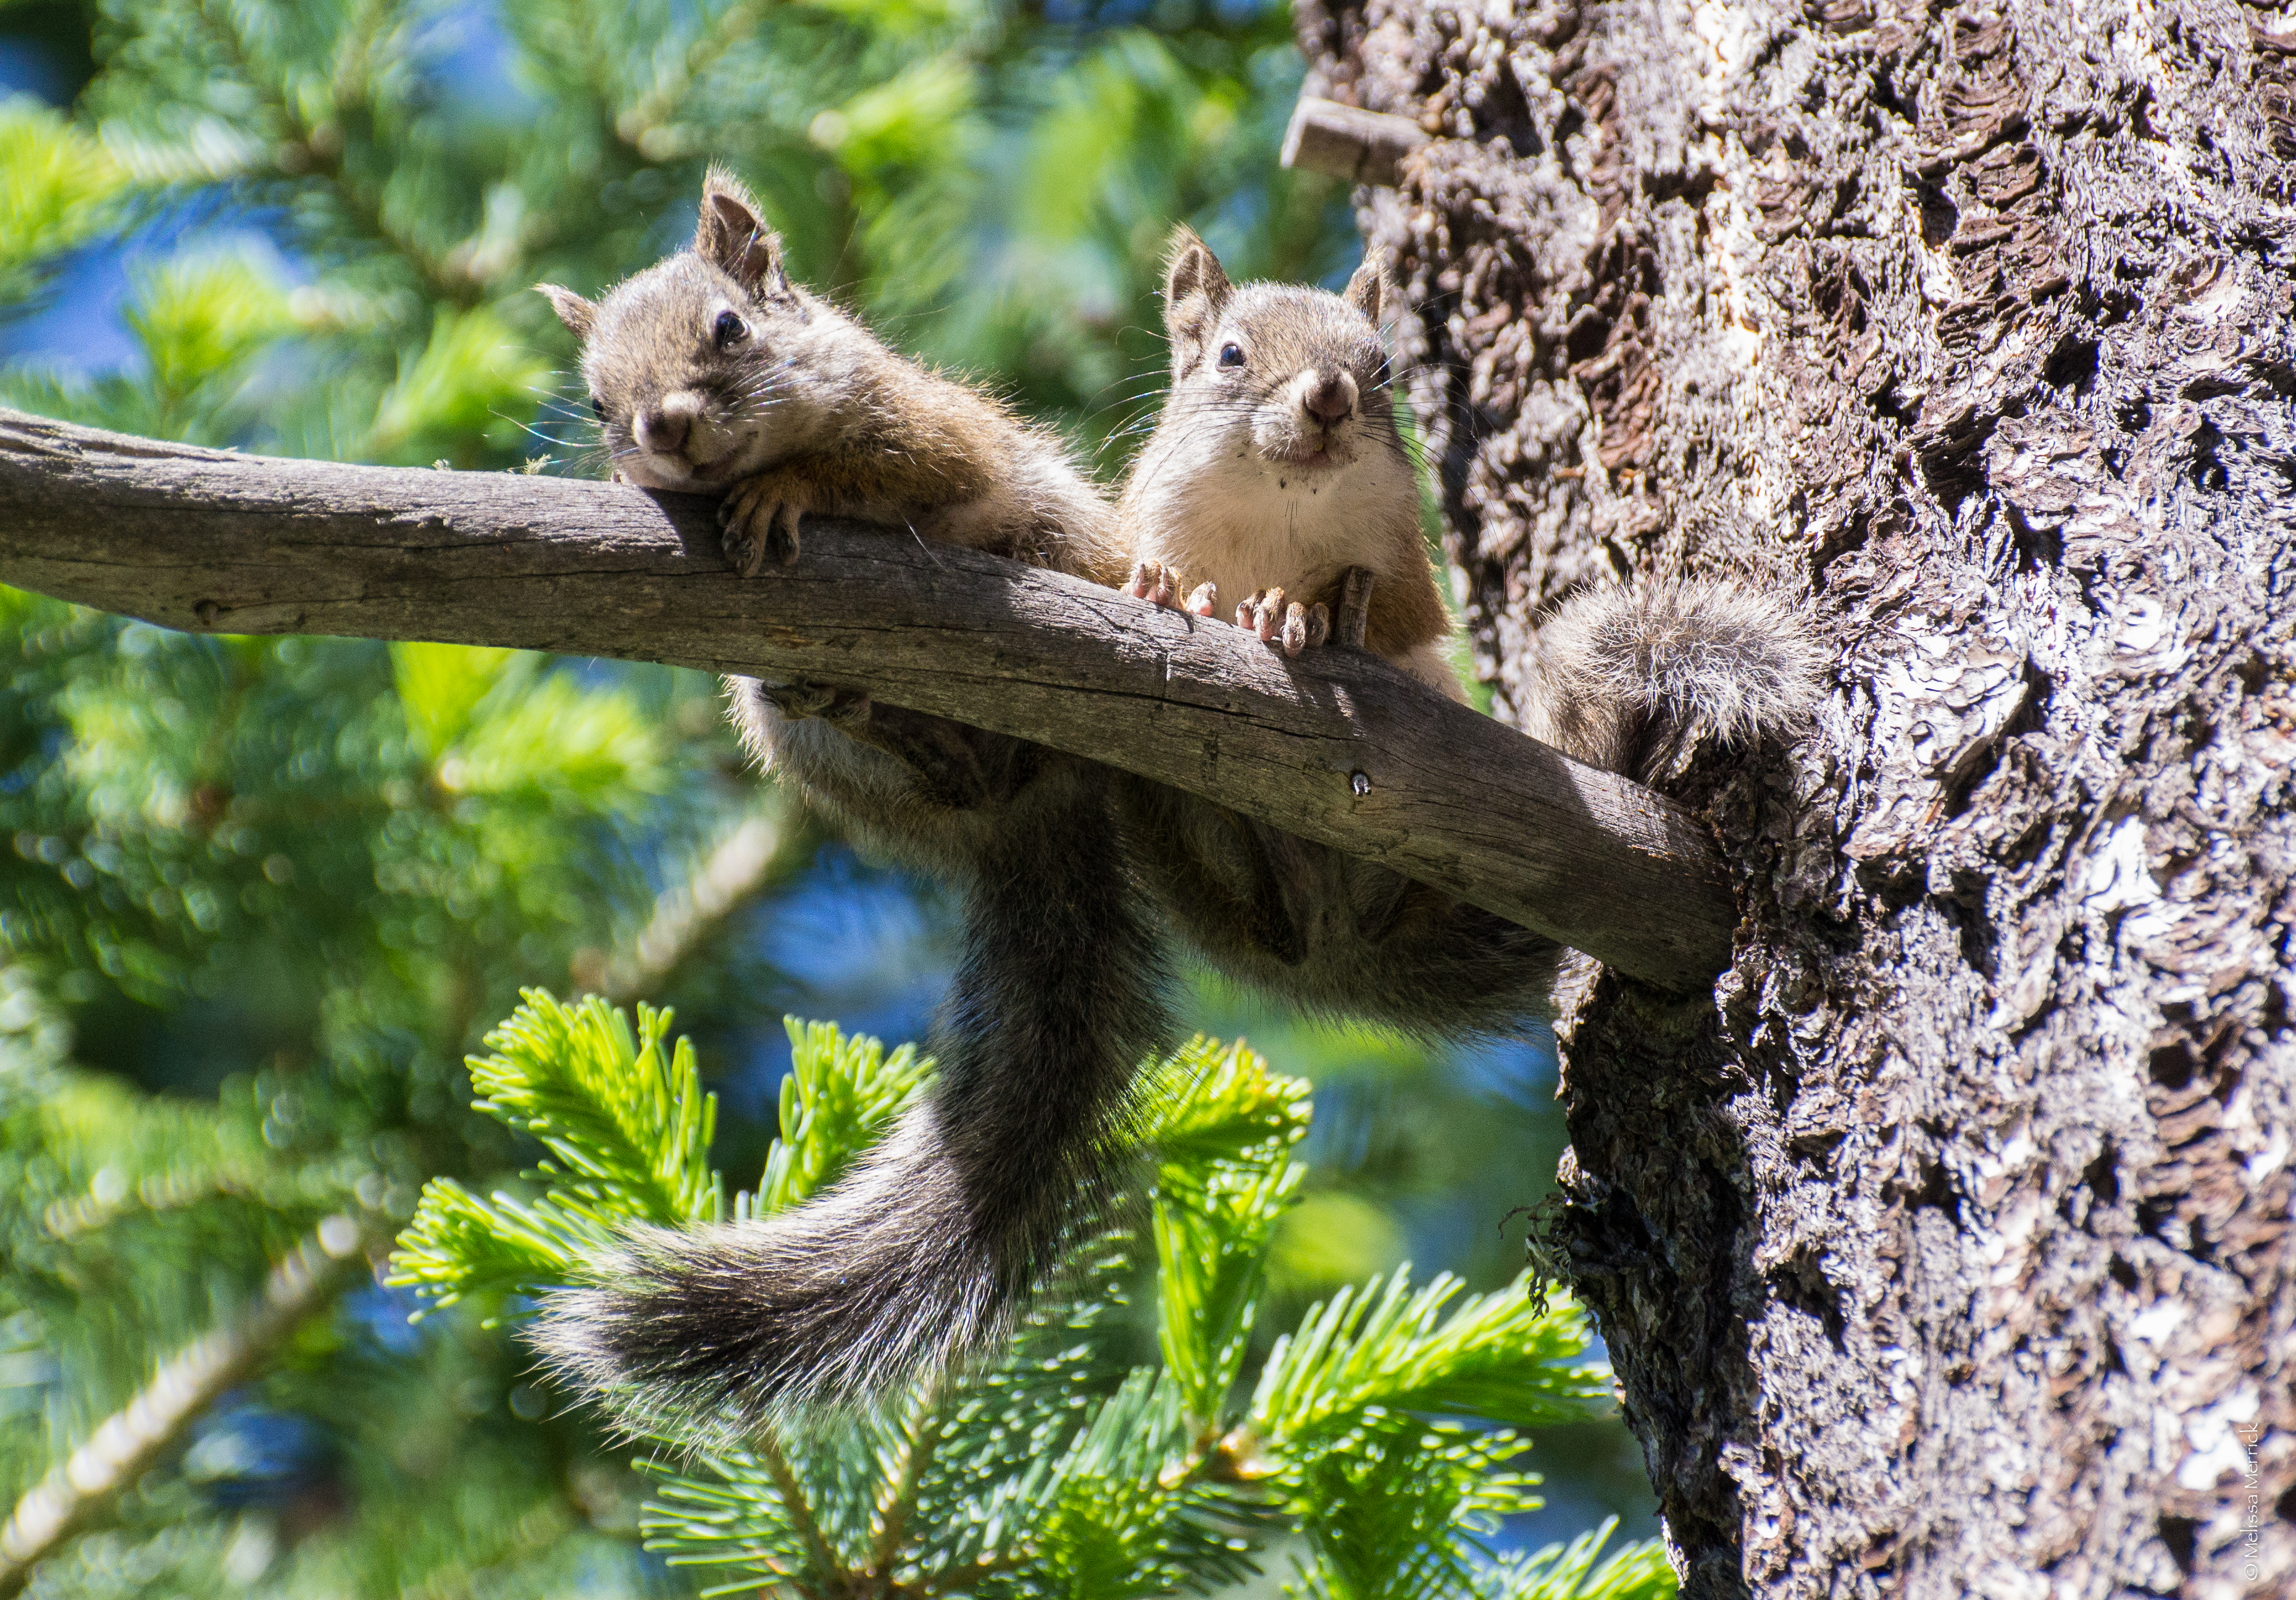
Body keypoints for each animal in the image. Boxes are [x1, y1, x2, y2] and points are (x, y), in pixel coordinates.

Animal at [521, 172, 1166, 1423]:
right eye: (595, 401)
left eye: (729, 328)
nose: (661, 432)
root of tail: (1028, 818)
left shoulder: (930, 429)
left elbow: (900, 472)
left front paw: (784, 491)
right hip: (793, 733)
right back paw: (879, 714)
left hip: (1060, 533)